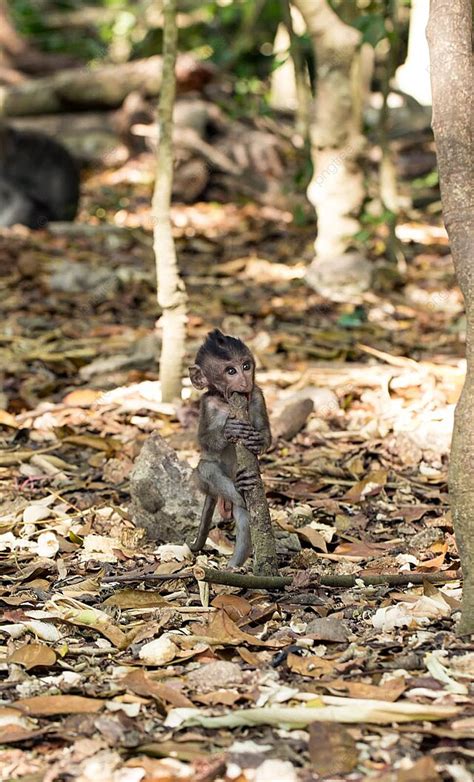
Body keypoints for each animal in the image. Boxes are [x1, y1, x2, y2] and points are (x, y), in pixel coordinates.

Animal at [188, 328, 270, 568]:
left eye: (246, 366)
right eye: (230, 371)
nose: (244, 381)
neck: (225, 402)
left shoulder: (257, 395)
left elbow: (266, 432)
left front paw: (258, 441)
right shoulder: (206, 404)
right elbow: (204, 440)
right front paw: (227, 429)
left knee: (244, 519)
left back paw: (235, 564)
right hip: (206, 485)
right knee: (207, 469)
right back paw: (238, 488)